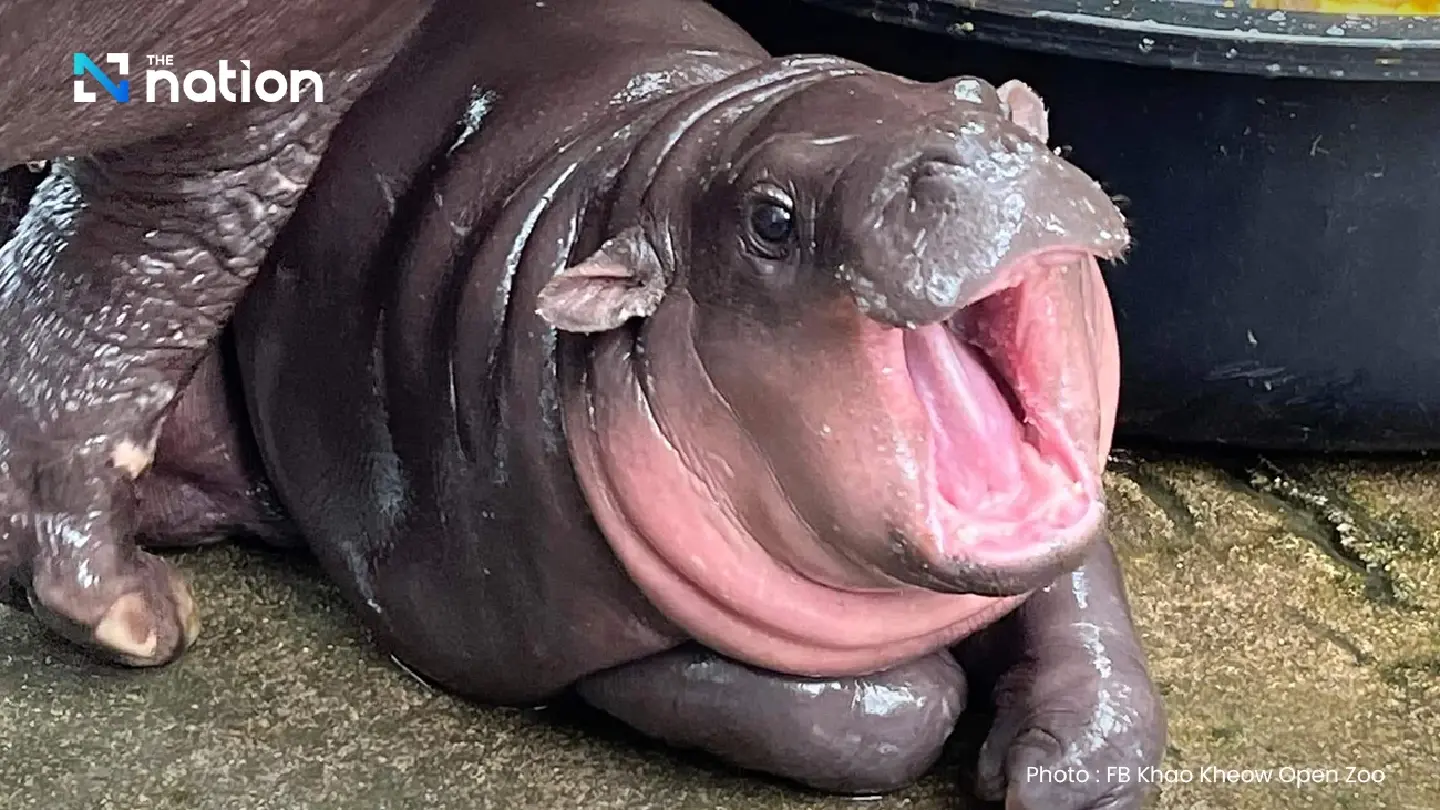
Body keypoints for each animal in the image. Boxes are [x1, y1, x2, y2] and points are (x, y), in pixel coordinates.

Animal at [0, 0, 1166, 806]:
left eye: (984, 97)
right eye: (771, 220)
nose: (976, 154)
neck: (661, 150)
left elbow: (1079, 588)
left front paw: (1073, 770)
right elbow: (880, 712)